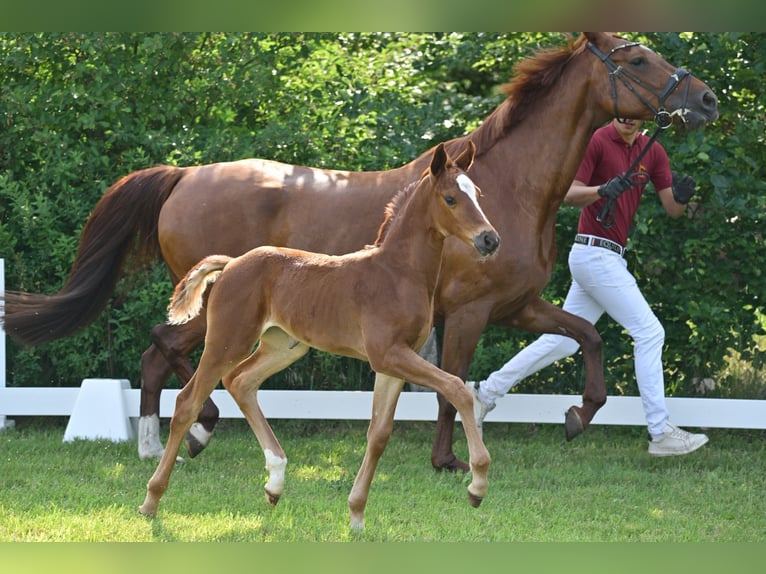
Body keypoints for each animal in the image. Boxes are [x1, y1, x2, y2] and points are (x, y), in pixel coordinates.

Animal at [2, 33, 719, 471]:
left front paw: (577, 416)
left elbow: (585, 338)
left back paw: (169, 442)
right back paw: (183, 435)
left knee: (165, 356)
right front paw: (447, 460)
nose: (708, 98)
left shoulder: (518, 306)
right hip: (219, 310)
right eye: (638, 59)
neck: (506, 186)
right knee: (167, 352)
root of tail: (184, 174)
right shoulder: (468, 313)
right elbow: (451, 383)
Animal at [137, 142, 499, 529]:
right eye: (450, 198)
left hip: (284, 345)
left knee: (240, 381)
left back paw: (275, 482)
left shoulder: (392, 363)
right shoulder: (388, 354)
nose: (490, 239)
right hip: (226, 341)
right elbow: (457, 388)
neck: (398, 273)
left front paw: (356, 514)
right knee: (187, 402)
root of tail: (232, 263)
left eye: (478, 194)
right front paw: (477, 484)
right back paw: (151, 500)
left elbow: (379, 433)